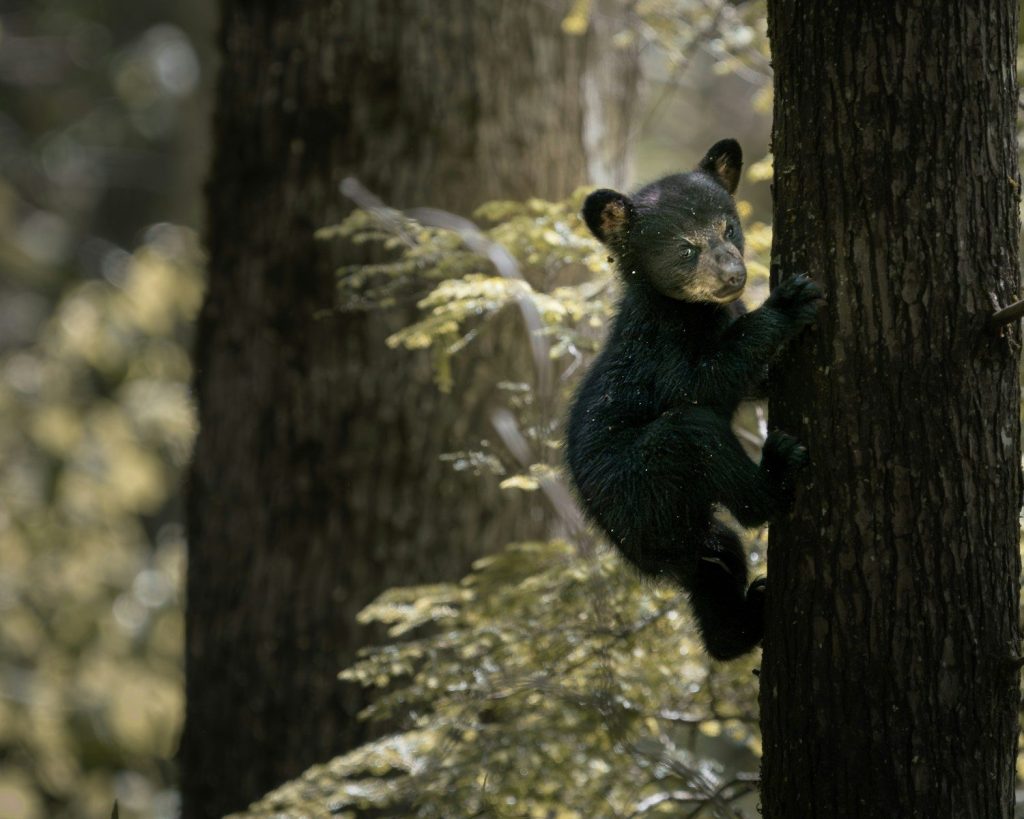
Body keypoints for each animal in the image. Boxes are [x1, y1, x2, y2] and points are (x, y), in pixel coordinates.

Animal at [564, 139, 823, 660]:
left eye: (729, 227)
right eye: (686, 248)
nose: (733, 275)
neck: (693, 311)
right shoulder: (660, 349)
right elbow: (701, 382)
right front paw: (786, 305)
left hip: (686, 529)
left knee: (716, 563)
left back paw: (741, 623)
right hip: (643, 478)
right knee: (699, 439)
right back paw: (776, 473)